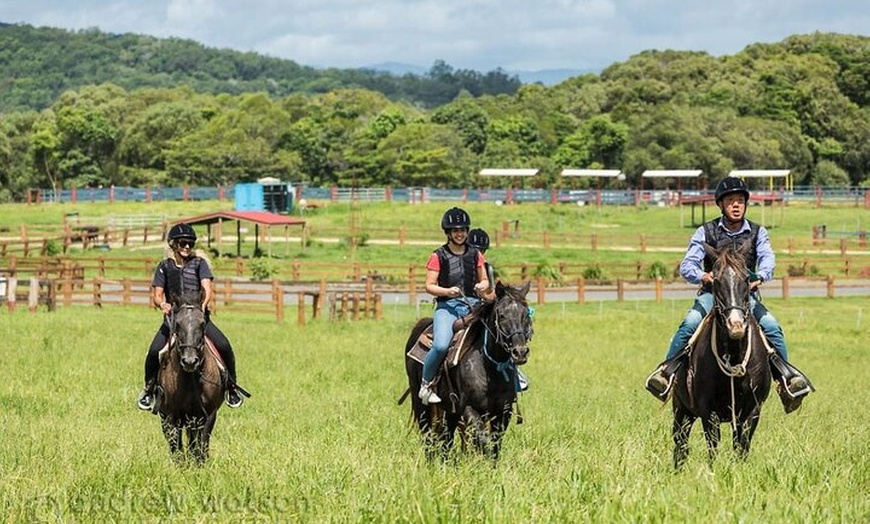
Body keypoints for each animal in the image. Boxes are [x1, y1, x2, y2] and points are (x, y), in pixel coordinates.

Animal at [155, 292, 227, 464]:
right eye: (177, 324)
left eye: (202, 324)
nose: (189, 361)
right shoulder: (172, 415)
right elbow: (176, 445)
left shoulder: (208, 414)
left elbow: (202, 444)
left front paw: (199, 465)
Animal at [402, 280, 532, 460]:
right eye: (502, 315)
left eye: (526, 315)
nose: (519, 352)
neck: (490, 368)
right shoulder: (467, 409)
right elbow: (483, 440)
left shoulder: (504, 411)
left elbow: (494, 445)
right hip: (421, 403)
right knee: (428, 437)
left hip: (449, 410)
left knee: (446, 439)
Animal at [672, 244, 772, 468]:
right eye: (716, 279)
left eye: (746, 277)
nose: (735, 325)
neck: (734, 355)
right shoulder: (708, 411)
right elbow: (713, 448)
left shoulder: (752, 411)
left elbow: (742, 447)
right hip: (681, 410)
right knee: (680, 444)